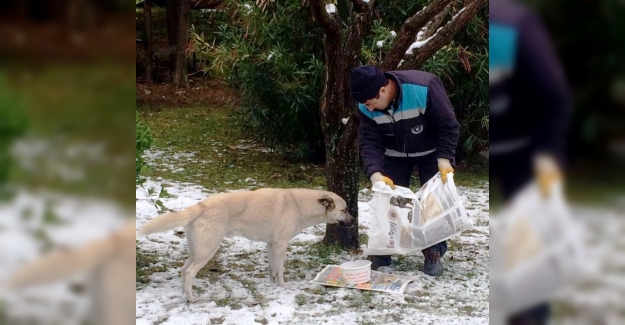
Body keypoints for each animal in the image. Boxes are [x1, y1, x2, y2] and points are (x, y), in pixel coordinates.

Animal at [136, 187, 352, 302]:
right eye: (345, 210)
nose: (353, 221)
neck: (298, 205)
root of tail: (201, 205)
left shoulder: (271, 244)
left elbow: (272, 268)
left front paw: (272, 283)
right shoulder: (281, 244)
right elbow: (280, 269)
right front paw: (282, 286)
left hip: (198, 250)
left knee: (183, 270)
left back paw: (183, 292)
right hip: (207, 251)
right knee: (189, 273)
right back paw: (191, 298)